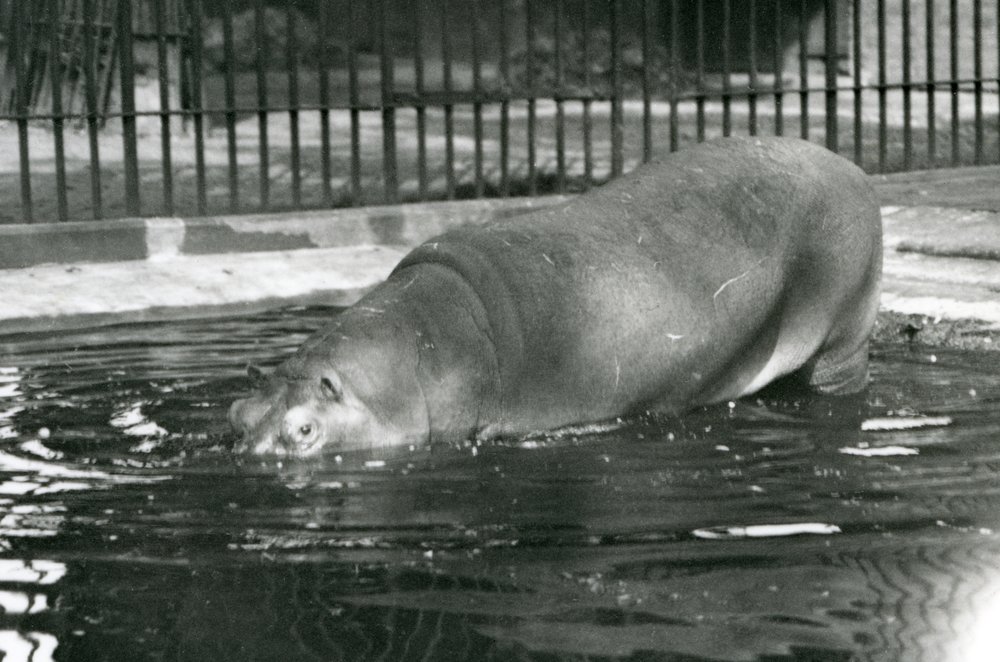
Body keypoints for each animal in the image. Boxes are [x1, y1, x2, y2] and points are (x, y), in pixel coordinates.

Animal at [229, 136, 882, 456]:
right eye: (236, 415)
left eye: (304, 431)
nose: (251, 458)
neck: (423, 354)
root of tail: (849, 165)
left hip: (843, 335)